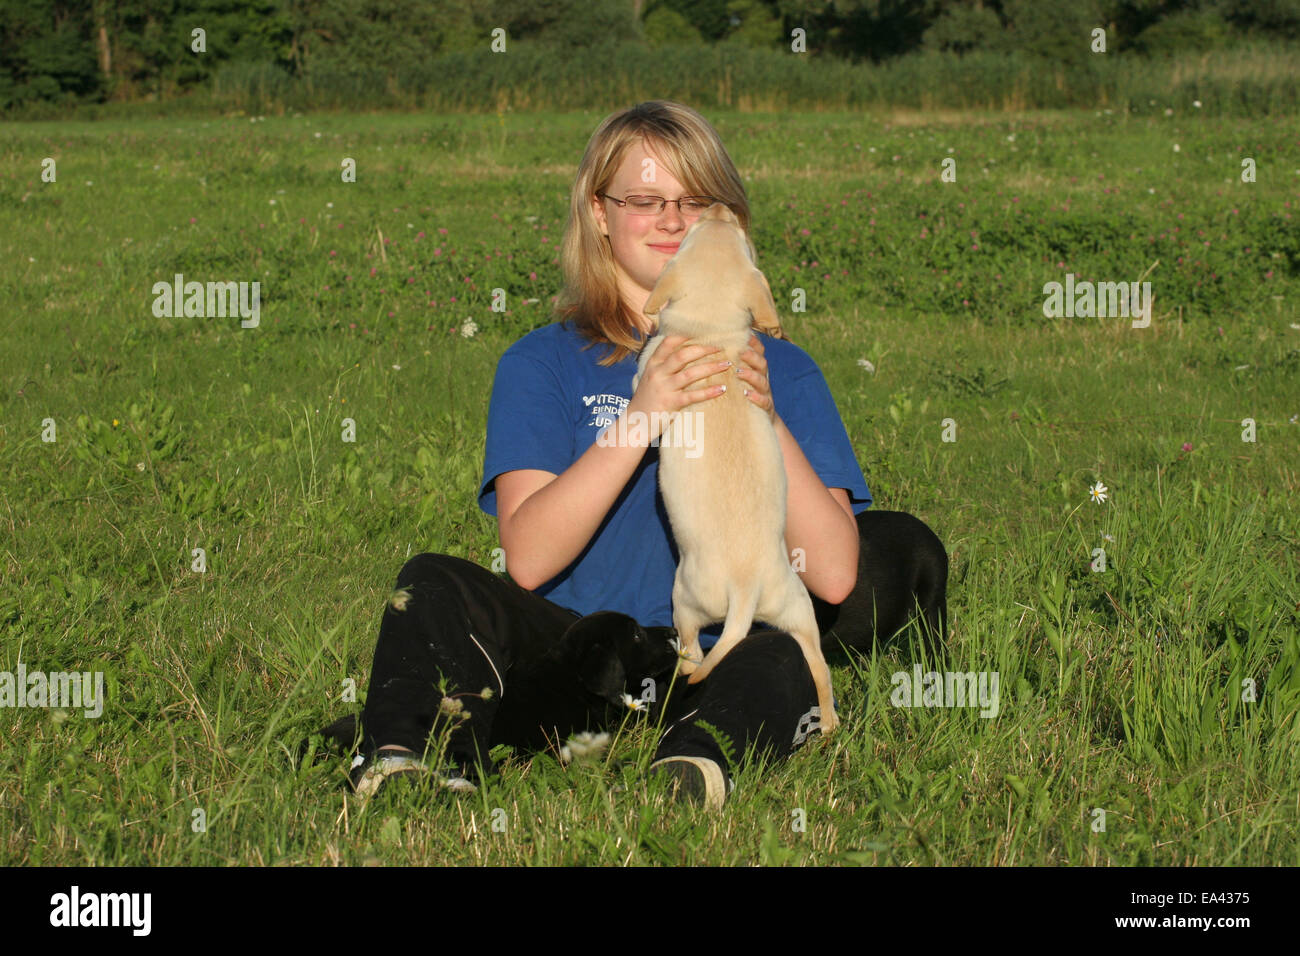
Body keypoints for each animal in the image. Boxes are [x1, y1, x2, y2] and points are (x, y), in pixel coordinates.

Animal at [631, 204, 837, 733]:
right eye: (739, 236)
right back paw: (828, 724)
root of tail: (746, 591)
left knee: (691, 647)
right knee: (818, 666)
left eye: (693, 231)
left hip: (685, 599)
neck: (715, 335)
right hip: (797, 606)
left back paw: (684, 667)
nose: (719, 207)